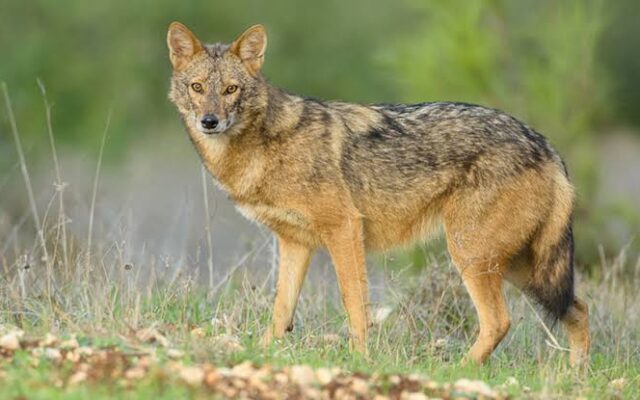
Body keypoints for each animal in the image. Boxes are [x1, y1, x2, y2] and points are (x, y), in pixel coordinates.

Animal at [167, 22, 590, 365]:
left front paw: (359, 360)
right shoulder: (296, 243)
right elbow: (281, 312)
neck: (263, 147)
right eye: (198, 87)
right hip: (520, 268)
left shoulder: (344, 229)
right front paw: (266, 353)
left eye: (231, 89)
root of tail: (546, 145)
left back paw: (457, 371)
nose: (209, 121)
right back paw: (575, 378)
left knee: (500, 321)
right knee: (579, 310)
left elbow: (355, 306)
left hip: (474, 257)